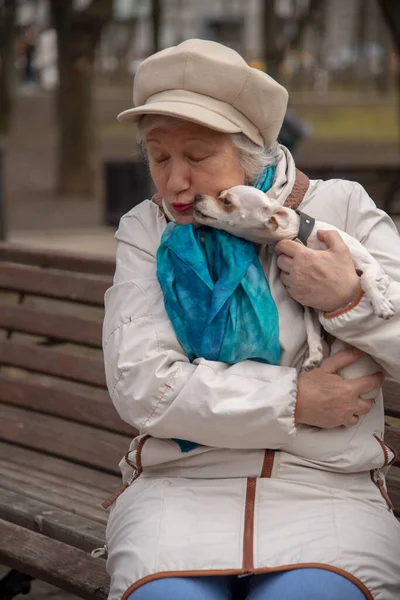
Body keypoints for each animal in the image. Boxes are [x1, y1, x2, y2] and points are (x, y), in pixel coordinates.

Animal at [193, 185, 394, 396]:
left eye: (227, 202)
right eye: (219, 194)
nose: (197, 196)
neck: (300, 237)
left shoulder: (372, 265)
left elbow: (364, 279)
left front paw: (380, 305)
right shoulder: (309, 305)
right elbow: (312, 330)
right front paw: (314, 356)